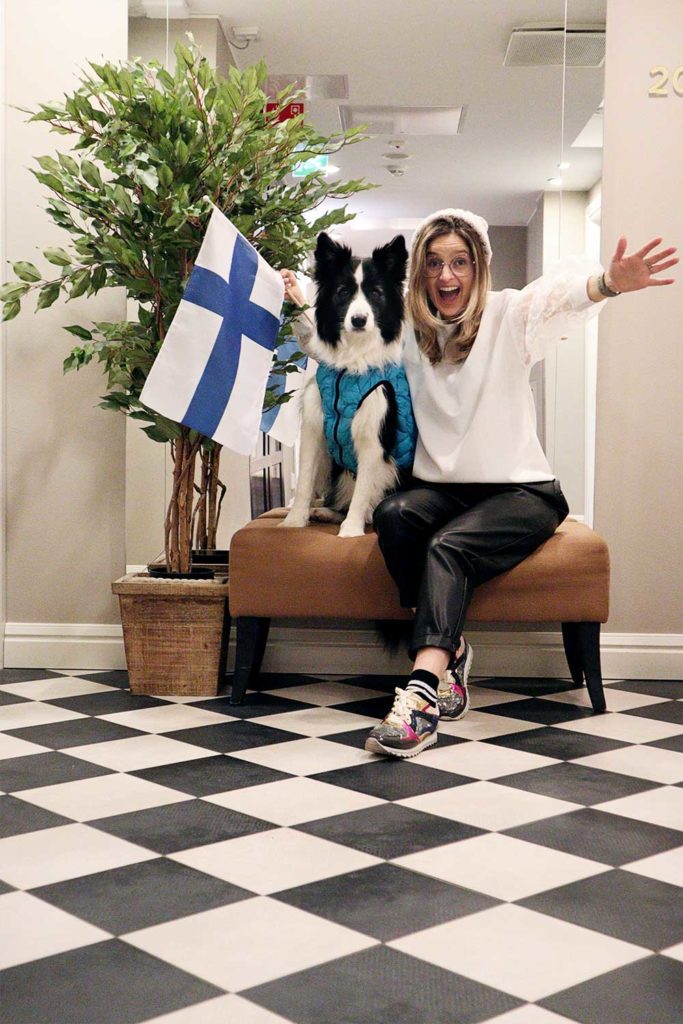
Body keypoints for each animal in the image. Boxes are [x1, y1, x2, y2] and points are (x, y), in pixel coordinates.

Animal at [280, 232, 413, 536]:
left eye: (376, 293)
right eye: (343, 292)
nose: (359, 320)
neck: (351, 363)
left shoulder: (373, 436)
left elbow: (364, 487)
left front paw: (351, 530)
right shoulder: (314, 429)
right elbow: (304, 481)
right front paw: (294, 521)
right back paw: (324, 511)